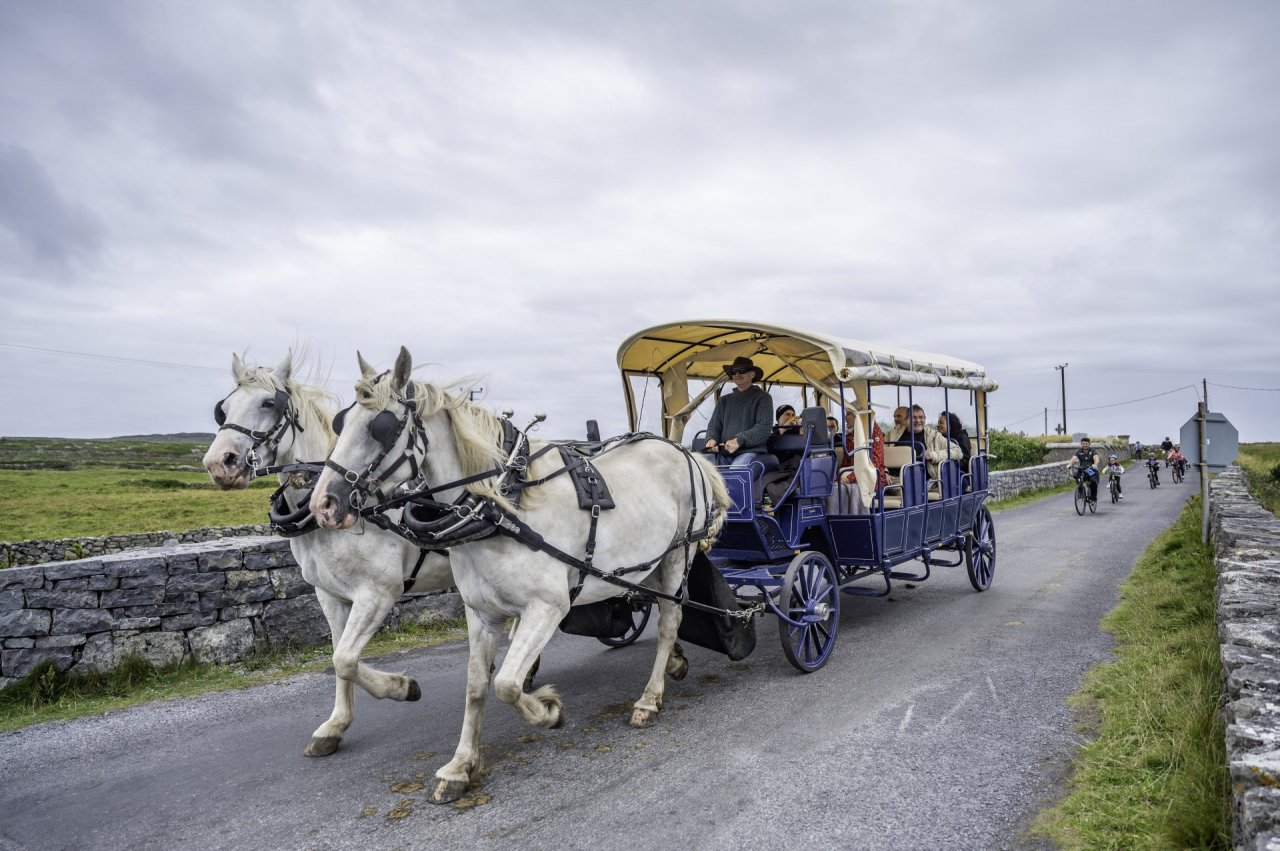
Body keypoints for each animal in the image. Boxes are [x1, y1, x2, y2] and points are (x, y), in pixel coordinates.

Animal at [202, 350, 453, 757]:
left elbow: (345, 659)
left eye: (269, 403)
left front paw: (401, 687)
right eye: (222, 409)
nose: (218, 463)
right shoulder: (330, 595)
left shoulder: (377, 594)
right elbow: (338, 656)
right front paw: (335, 726)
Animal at [311, 348, 732, 803]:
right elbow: (477, 685)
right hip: (643, 565)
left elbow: (508, 685)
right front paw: (460, 765)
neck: (502, 504)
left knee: (671, 619)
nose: (323, 504)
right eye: (341, 422)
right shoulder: (481, 613)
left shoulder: (547, 607)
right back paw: (674, 664)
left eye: (381, 426)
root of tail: (686, 452)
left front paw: (548, 710)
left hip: (677, 555)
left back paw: (649, 699)